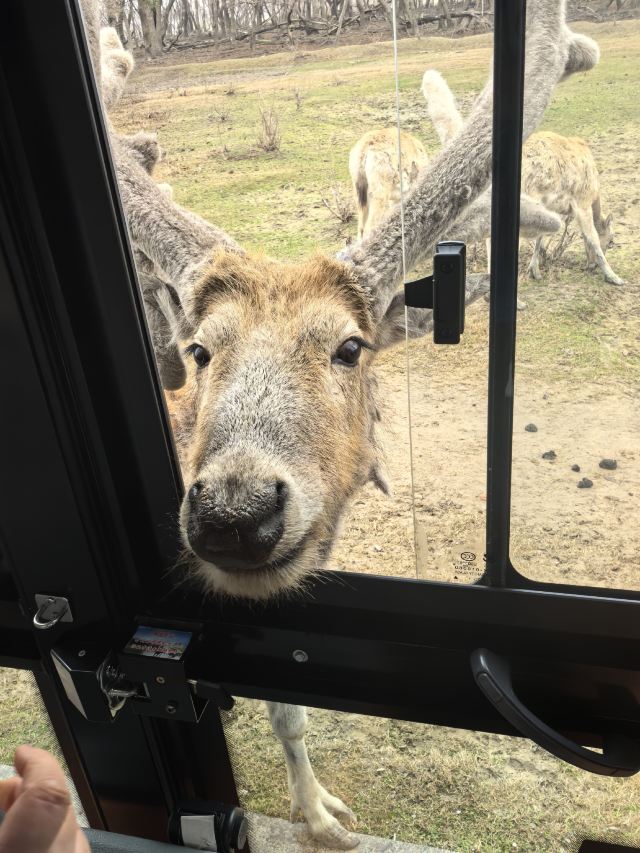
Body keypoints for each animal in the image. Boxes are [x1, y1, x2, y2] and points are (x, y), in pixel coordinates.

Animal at [82, 3, 599, 847]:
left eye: (349, 346)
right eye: (200, 349)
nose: (233, 511)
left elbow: (288, 703)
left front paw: (320, 809)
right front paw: (319, 813)